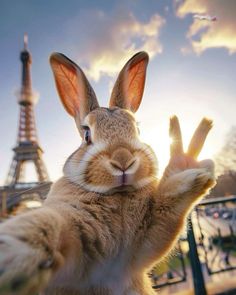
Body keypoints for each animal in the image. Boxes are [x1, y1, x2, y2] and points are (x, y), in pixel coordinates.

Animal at [0, 52, 216, 294]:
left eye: (137, 129)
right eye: (87, 135)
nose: (123, 160)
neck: (117, 194)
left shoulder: (143, 244)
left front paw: (189, 168)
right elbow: (47, 224)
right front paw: (12, 254)